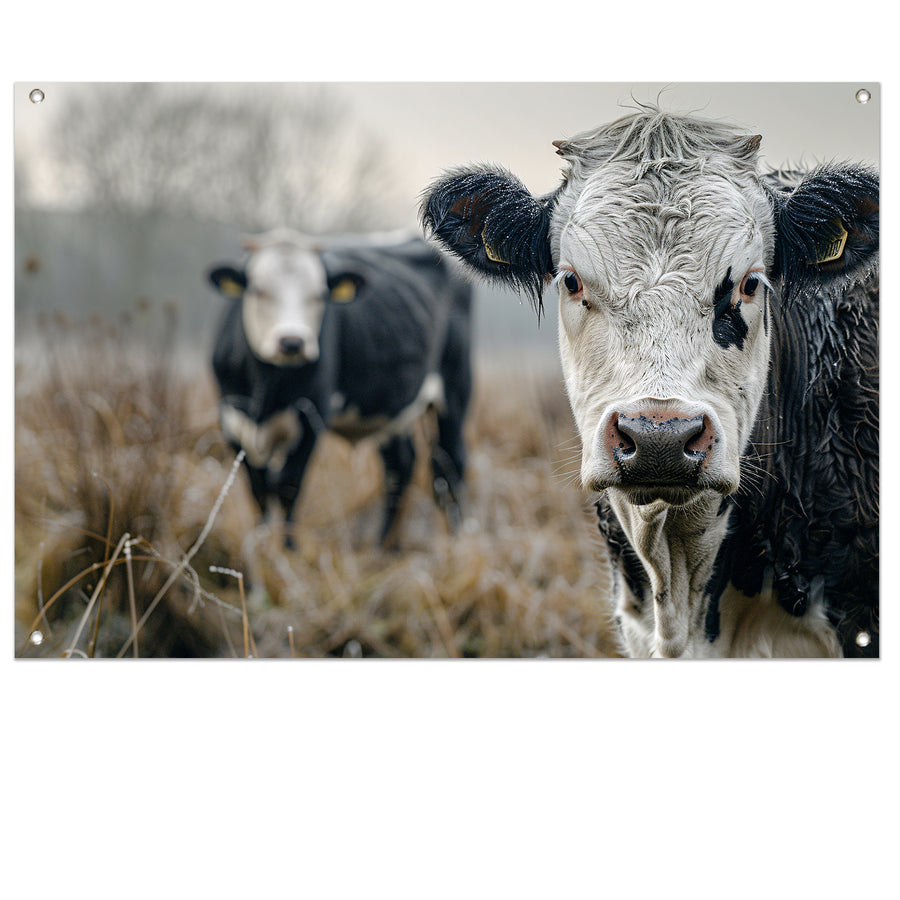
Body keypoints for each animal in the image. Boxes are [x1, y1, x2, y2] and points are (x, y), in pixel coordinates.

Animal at [208, 229, 473, 550]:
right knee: (401, 466)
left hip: (454, 390)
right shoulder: (231, 418)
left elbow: (287, 484)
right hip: (392, 406)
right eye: (258, 290)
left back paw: (456, 545)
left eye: (320, 295)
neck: (266, 388)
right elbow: (257, 488)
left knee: (449, 466)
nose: (292, 342)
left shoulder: (311, 415)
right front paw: (260, 544)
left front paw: (287, 550)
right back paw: (384, 546)